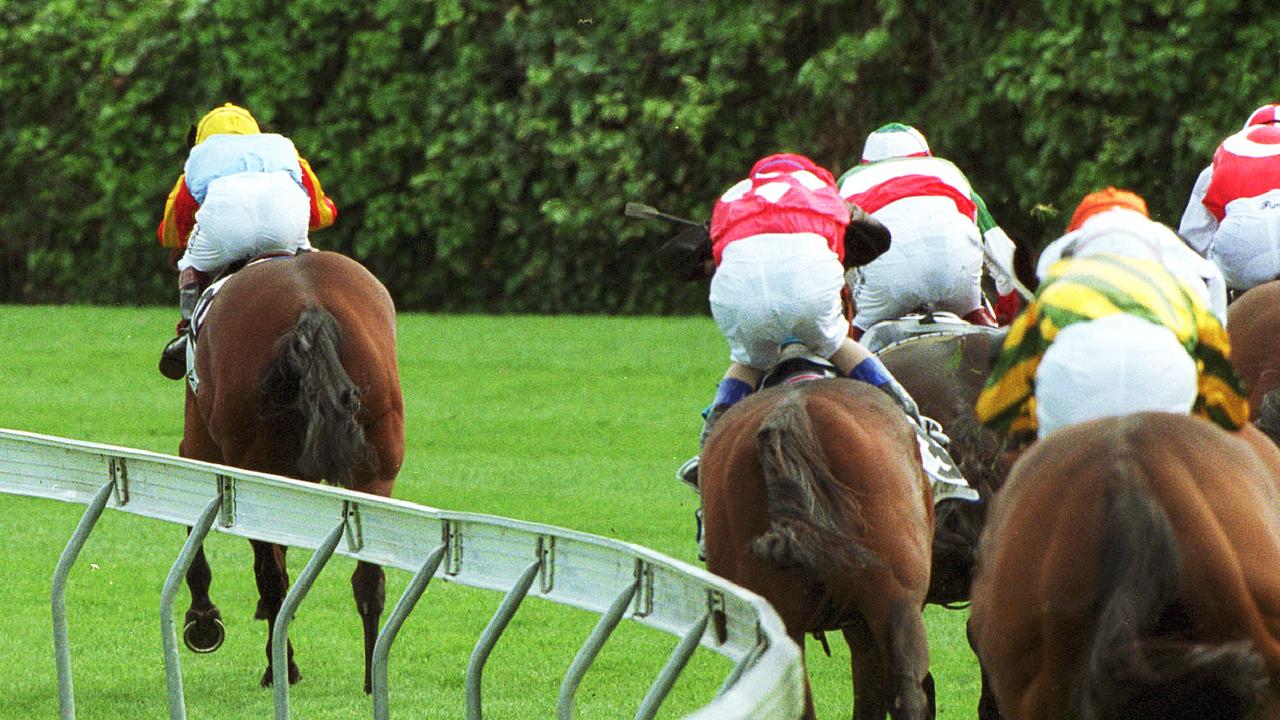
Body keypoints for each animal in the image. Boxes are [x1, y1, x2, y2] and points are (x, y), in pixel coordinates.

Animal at [177, 248, 401, 691]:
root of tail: (309, 307)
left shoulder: (199, 442)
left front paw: (204, 621)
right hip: (376, 470)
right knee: (369, 579)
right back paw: (371, 678)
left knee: (272, 576)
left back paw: (280, 664)